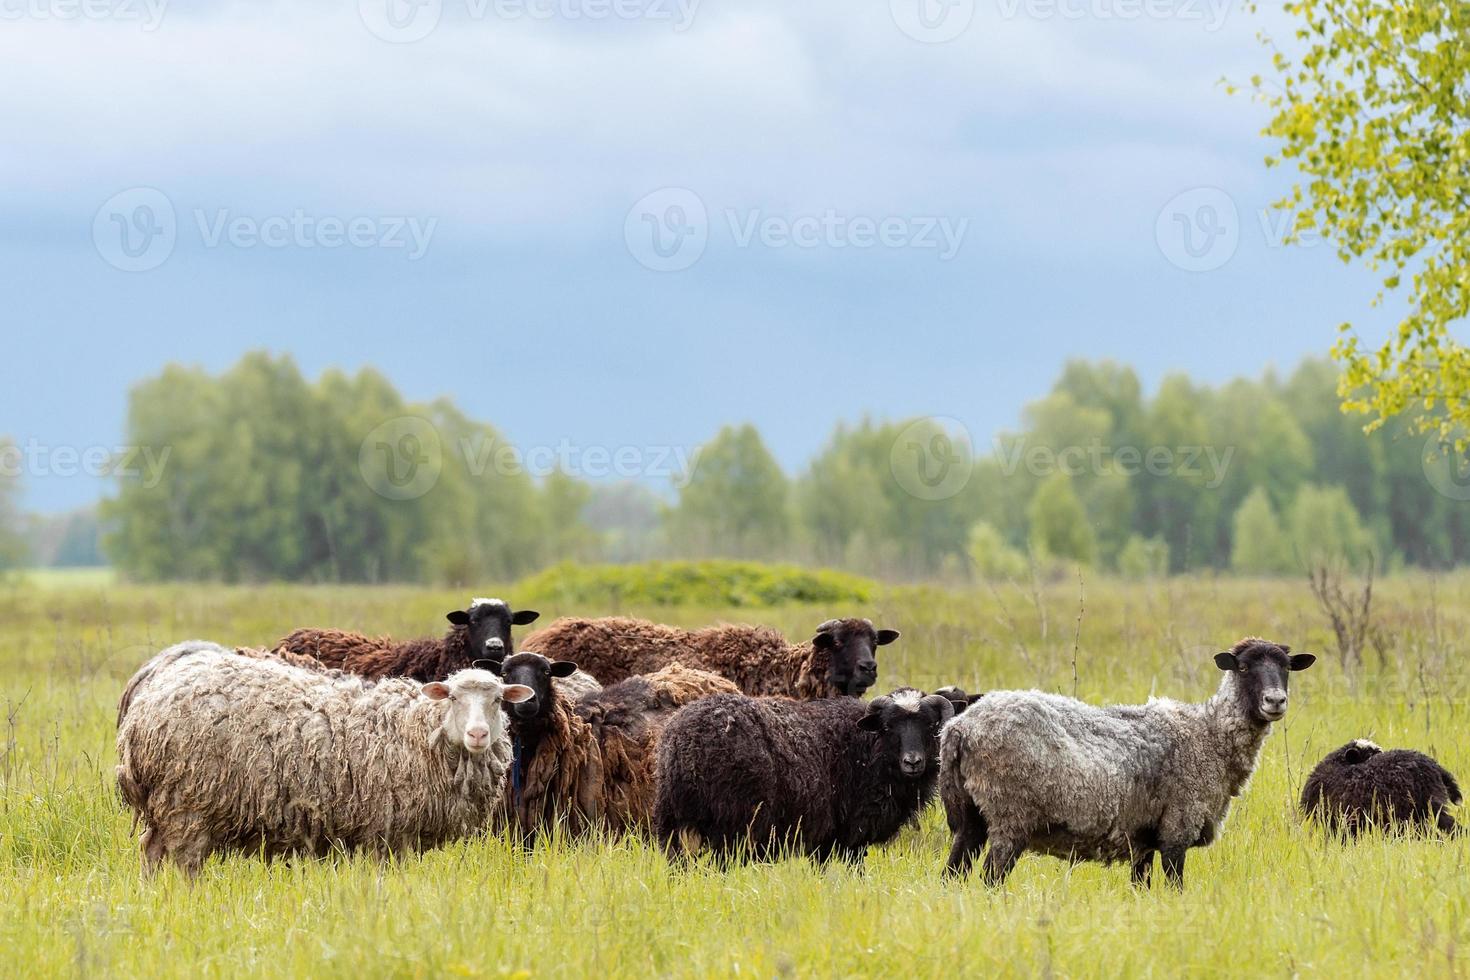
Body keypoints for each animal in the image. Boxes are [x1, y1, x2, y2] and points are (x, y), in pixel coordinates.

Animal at [114, 640, 532, 875]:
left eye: (498, 700)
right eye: (454, 697)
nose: (477, 734)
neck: (418, 729)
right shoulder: (388, 827)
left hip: (169, 804)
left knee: (150, 850)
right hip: (189, 800)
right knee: (185, 860)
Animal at [652, 687, 952, 863]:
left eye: (929, 725)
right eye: (889, 727)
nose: (912, 762)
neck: (869, 747)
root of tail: (686, 740)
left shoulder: (827, 840)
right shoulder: (850, 835)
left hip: (672, 822)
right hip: (731, 823)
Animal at [940, 637, 1323, 887]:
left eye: (1286, 668)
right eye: (1243, 667)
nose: (1275, 701)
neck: (1208, 735)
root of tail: (960, 729)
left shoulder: (1143, 841)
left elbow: (1141, 887)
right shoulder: (1176, 831)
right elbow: (1174, 888)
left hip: (970, 816)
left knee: (952, 876)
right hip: (1010, 814)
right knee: (990, 879)